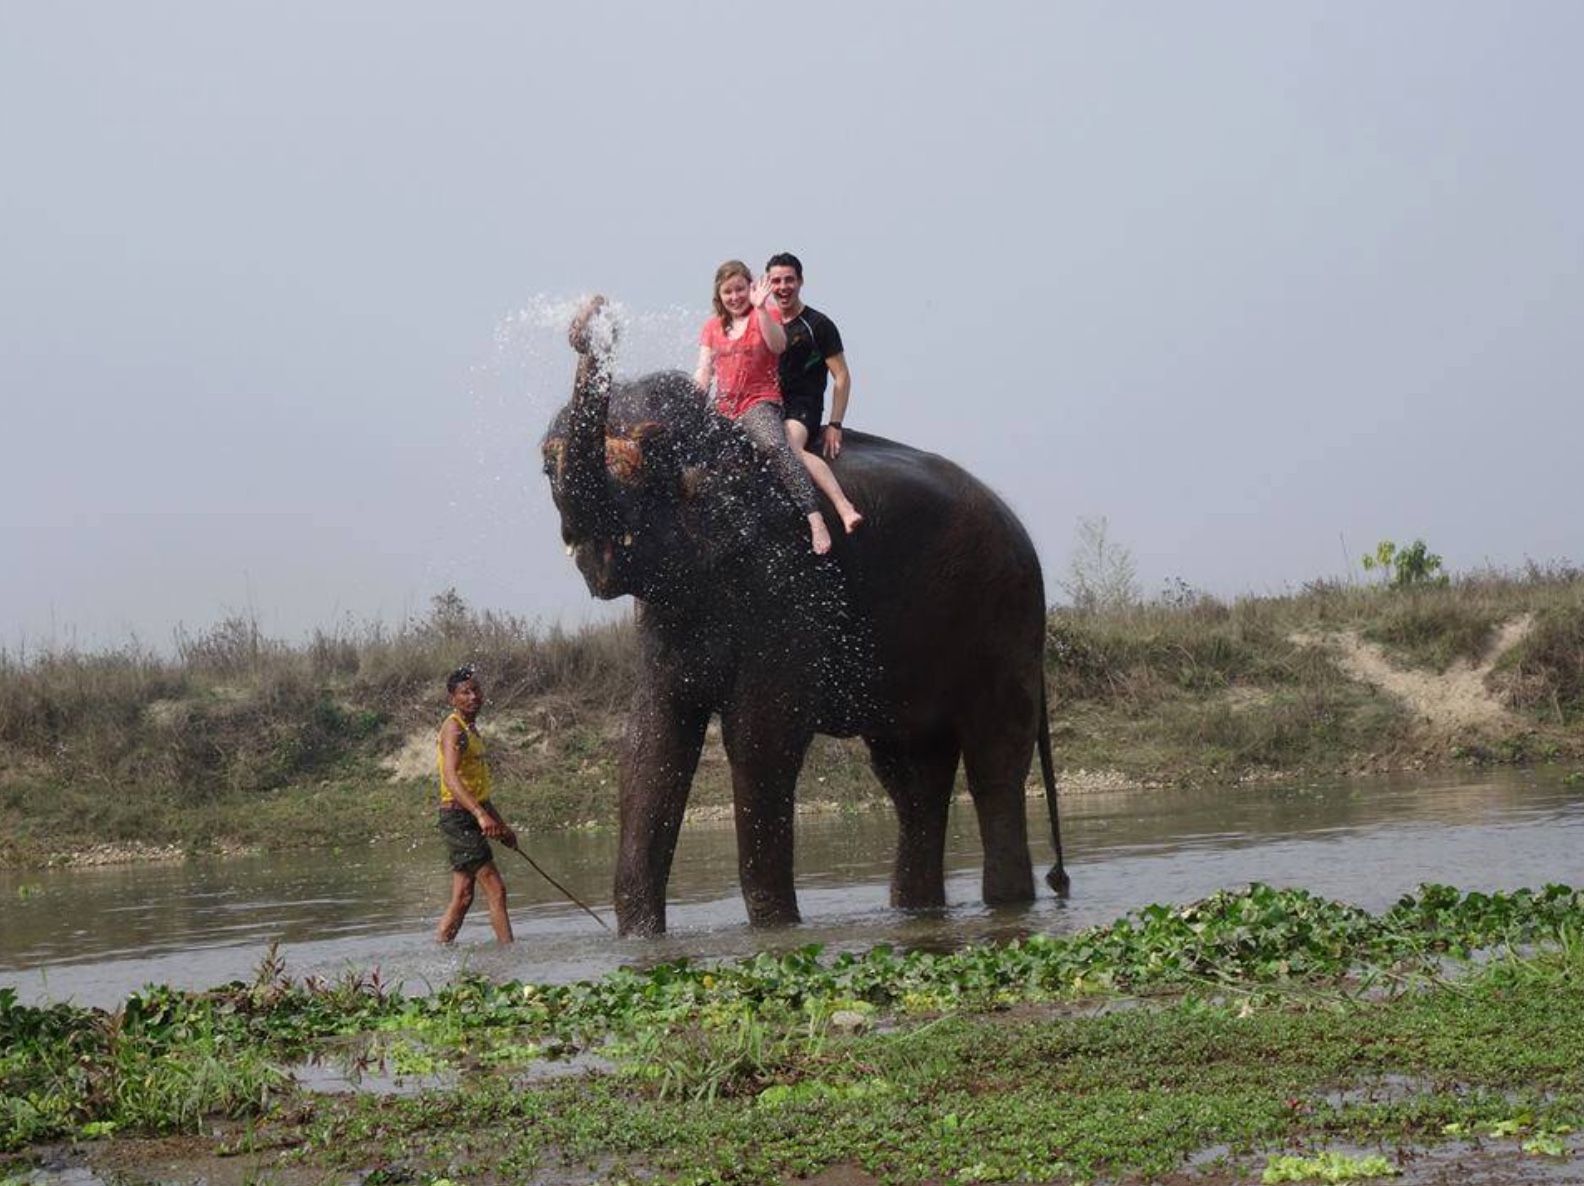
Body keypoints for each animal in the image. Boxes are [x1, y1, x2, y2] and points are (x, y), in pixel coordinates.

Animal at [538, 302, 1070, 937]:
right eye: (545, 468)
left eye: (654, 456)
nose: (590, 320)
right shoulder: (672, 612)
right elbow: (650, 743)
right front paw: (640, 941)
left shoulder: (790, 586)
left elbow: (759, 737)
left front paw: (775, 930)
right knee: (911, 776)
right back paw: (917, 912)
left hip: (1004, 619)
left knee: (994, 762)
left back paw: (1007, 907)